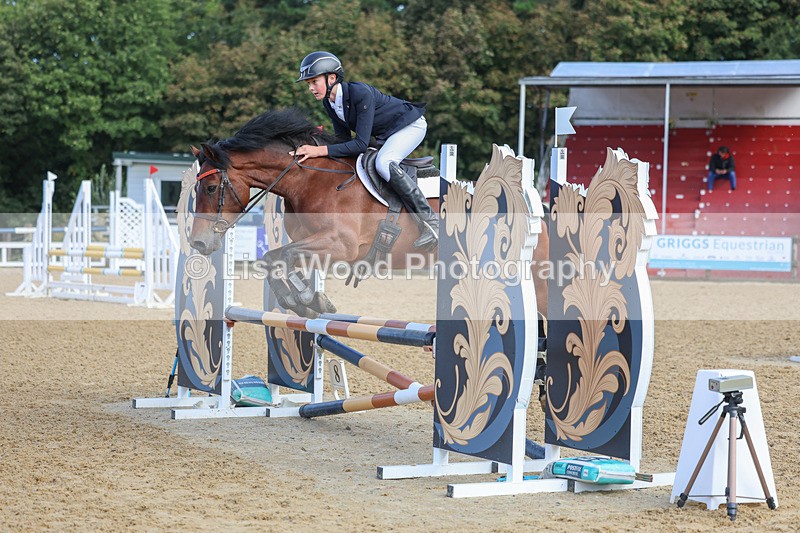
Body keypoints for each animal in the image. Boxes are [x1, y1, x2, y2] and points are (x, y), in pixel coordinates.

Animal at [190, 108, 550, 319]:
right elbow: (278, 260)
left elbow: (279, 255)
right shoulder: (313, 243)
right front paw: (308, 301)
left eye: (210, 188)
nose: (198, 244)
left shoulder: (341, 244)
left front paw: (304, 299)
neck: (311, 180)